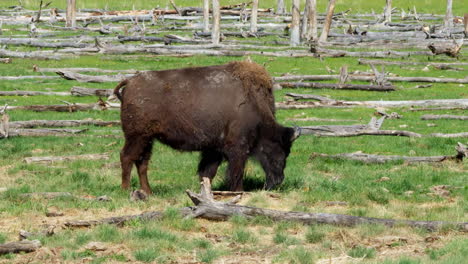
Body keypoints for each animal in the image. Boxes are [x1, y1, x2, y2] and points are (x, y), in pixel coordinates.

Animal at [113, 61, 300, 194]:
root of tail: (130, 82)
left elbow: (207, 172)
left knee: (142, 162)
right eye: (281, 151)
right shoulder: (237, 148)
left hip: (147, 139)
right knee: (127, 157)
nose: (277, 181)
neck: (254, 103)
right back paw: (126, 190)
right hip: (136, 137)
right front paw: (238, 192)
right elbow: (236, 171)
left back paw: (148, 192)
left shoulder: (214, 150)